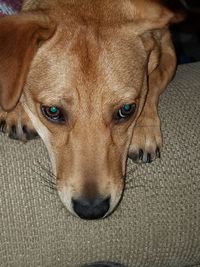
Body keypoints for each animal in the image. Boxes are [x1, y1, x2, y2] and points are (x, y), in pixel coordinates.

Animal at [0, 0, 181, 221]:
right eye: (53, 111)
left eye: (127, 109)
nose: (91, 209)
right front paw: (16, 110)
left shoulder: (168, 49)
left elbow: (153, 81)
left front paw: (143, 131)